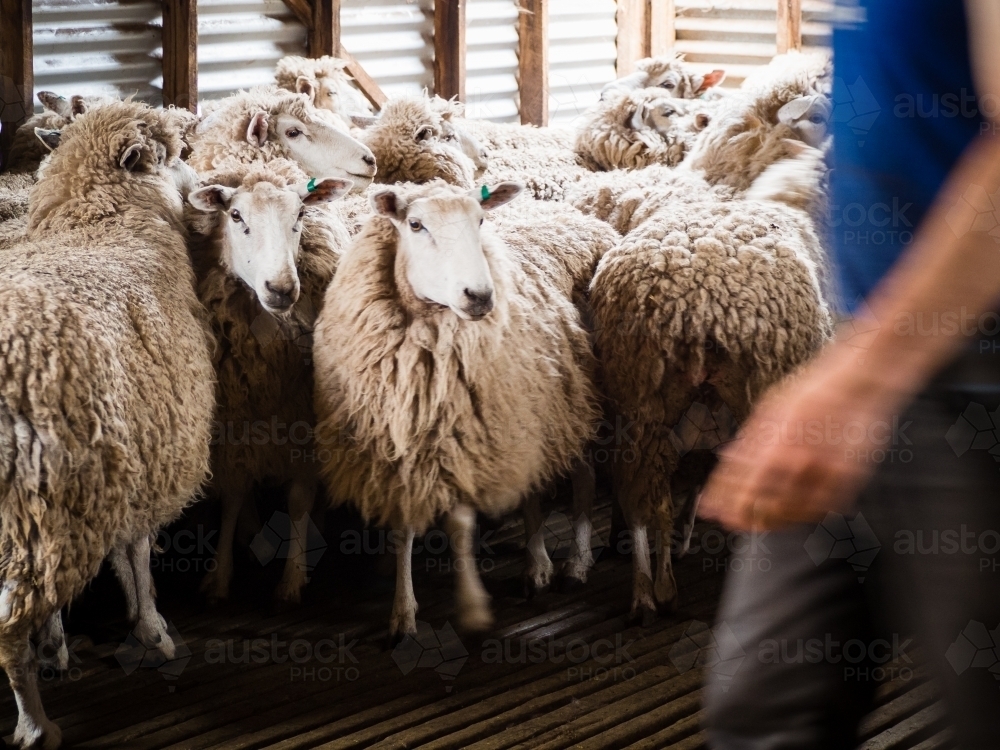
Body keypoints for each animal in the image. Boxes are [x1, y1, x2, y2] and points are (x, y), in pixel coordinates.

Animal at [0, 100, 215, 749]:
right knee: (7, 622)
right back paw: (35, 724)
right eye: (176, 155)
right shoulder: (144, 449)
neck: (102, 222)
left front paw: (56, 646)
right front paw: (153, 629)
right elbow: (135, 549)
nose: (204, 186)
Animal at [187, 158, 352, 605]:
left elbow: (297, 500)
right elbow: (233, 495)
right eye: (235, 215)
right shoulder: (235, 422)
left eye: (300, 215)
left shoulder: (304, 419)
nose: (280, 289)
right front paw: (219, 576)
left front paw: (293, 577)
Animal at [312, 181, 601, 635]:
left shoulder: (463, 441)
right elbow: (403, 527)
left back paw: (574, 563)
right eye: (415, 224)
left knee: (584, 477)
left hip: (573, 400)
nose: (480, 297)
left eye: (480, 219)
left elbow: (461, 523)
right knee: (532, 485)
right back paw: (537, 565)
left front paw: (470, 608)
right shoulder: (398, 451)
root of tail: (574, 215)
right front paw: (403, 611)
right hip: (532, 408)